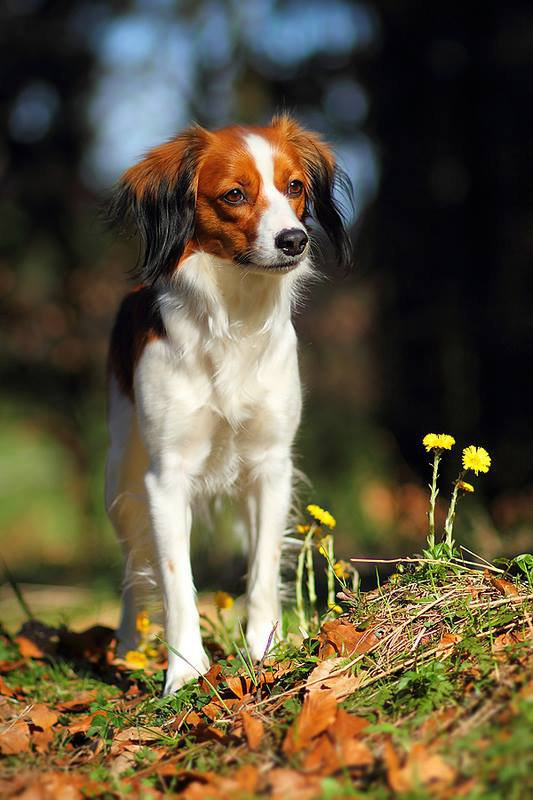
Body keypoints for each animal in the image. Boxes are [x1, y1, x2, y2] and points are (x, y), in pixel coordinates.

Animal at [105, 112, 352, 692]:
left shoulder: (270, 467)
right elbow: (176, 582)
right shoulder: (165, 479)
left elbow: (261, 569)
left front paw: (266, 650)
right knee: (133, 570)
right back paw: (127, 646)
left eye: (294, 187)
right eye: (235, 194)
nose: (294, 240)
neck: (235, 319)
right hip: (120, 481)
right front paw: (186, 673)